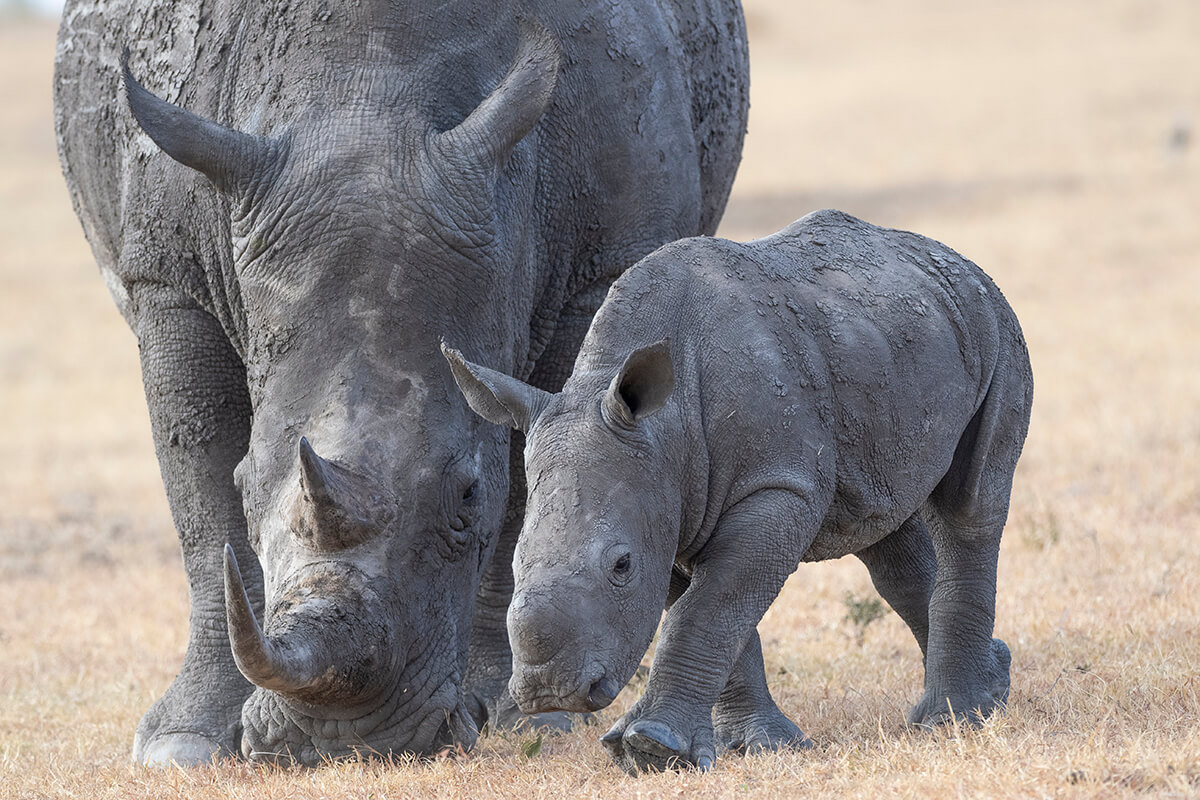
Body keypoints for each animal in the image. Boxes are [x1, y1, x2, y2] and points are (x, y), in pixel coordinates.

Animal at [53, 0, 749, 766]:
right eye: (248, 481)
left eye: (467, 495)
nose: (341, 738)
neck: (364, 89)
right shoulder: (168, 277)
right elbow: (202, 504)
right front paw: (186, 744)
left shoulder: (599, 267)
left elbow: (533, 487)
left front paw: (523, 718)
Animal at [445, 209, 1034, 773]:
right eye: (516, 562)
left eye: (621, 566)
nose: (553, 692)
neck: (665, 427)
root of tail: (951, 256)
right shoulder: (672, 500)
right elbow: (716, 610)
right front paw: (755, 747)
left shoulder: (776, 486)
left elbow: (711, 606)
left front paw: (649, 748)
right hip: (895, 344)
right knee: (886, 532)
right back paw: (993, 684)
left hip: (995, 323)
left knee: (968, 508)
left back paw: (952, 719)